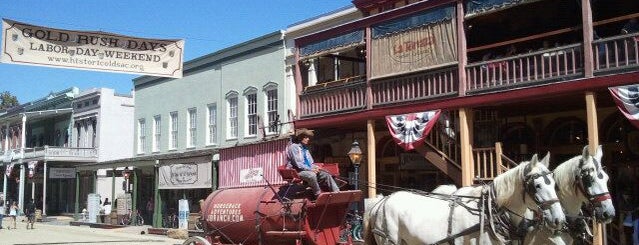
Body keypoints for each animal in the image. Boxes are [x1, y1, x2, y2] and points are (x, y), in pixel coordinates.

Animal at [364, 154, 564, 244]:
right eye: (537, 186)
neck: (489, 213)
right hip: (388, 239)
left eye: (554, 183)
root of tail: (380, 202)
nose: (559, 219)